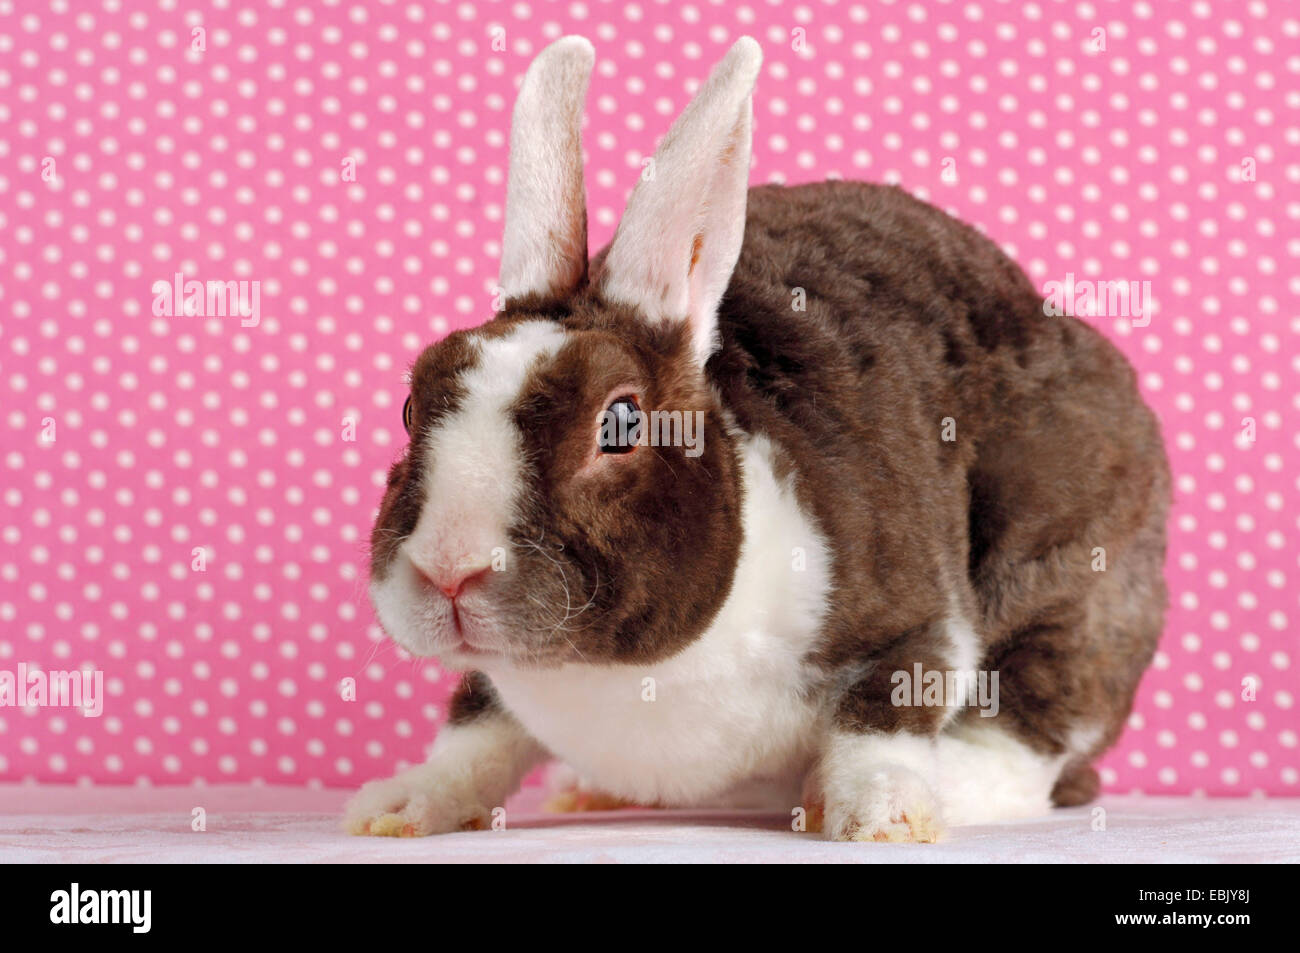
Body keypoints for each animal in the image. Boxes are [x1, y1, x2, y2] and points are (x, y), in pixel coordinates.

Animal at [345, 35, 1169, 842]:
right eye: (411, 407)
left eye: (620, 422)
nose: (448, 569)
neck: (613, 674)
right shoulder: (493, 683)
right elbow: (474, 732)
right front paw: (397, 805)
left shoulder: (913, 622)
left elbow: (884, 715)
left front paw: (883, 815)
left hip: (1068, 584)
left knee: (1035, 738)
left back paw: (945, 788)